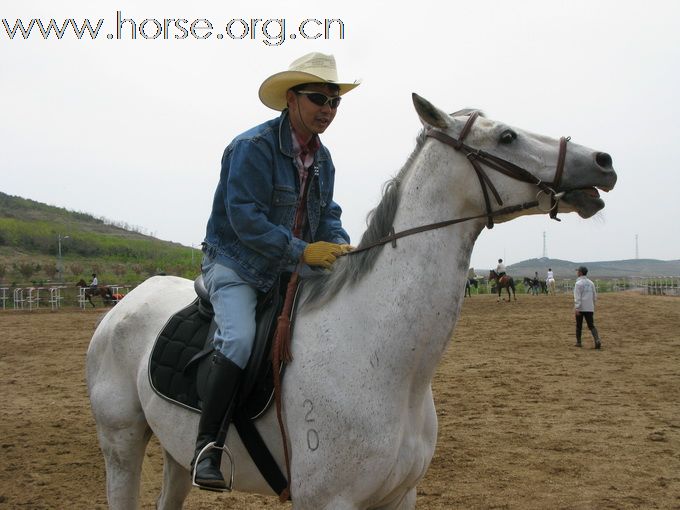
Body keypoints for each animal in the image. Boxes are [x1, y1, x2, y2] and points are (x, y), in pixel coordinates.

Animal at [85, 93, 616, 508]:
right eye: (506, 137)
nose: (603, 161)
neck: (383, 359)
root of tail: (125, 305)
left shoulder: (400, 496)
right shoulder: (329, 501)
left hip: (175, 451)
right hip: (121, 444)